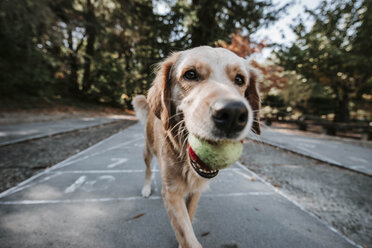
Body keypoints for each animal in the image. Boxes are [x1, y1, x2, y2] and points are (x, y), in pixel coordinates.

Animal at [132, 45, 260, 247]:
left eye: (240, 79)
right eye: (190, 74)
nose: (233, 114)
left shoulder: (195, 190)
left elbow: (189, 217)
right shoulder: (171, 192)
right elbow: (186, 233)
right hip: (147, 149)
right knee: (147, 169)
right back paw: (146, 187)